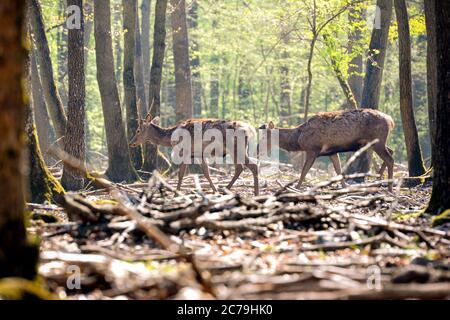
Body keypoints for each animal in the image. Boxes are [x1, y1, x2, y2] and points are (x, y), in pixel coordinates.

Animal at [128, 101, 258, 194]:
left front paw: (176, 193)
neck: (171, 137)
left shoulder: (184, 151)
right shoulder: (199, 154)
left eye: (138, 130)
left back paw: (251, 192)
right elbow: (206, 173)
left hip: (235, 147)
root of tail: (249, 129)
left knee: (250, 166)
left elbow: (181, 174)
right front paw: (214, 190)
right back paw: (227, 189)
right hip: (240, 149)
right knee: (242, 167)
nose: (131, 143)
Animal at [258, 109, 396, 191]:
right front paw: (344, 187)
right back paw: (379, 178)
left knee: (390, 159)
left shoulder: (313, 149)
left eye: (264, 136)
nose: (258, 149)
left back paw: (389, 187)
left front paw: (296, 187)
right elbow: (338, 170)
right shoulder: (332, 152)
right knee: (391, 151)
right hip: (377, 142)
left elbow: (304, 171)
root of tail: (390, 120)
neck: (298, 139)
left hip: (378, 141)